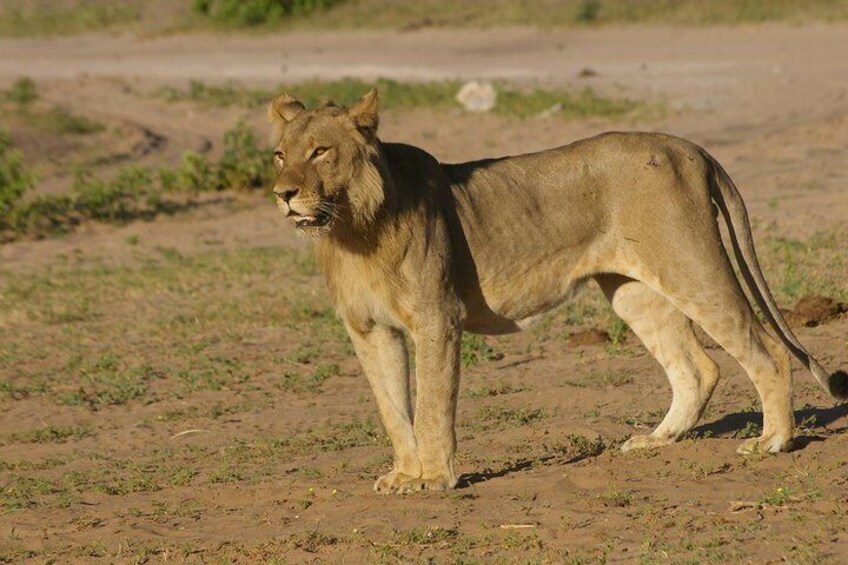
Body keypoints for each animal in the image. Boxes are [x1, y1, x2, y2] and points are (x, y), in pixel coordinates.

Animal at [268, 89, 848, 494]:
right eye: (278, 155)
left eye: (320, 151)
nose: (283, 194)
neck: (351, 230)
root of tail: (687, 146)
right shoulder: (369, 330)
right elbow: (393, 409)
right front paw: (405, 475)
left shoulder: (437, 317)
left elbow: (432, 403)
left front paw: (436, 477)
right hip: (634, 289)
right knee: (697, 368)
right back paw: (655, 440)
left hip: (692, 266)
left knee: (768, 351)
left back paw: (773, 441)